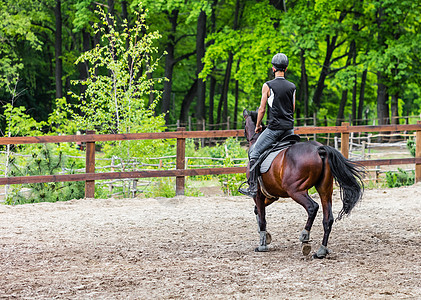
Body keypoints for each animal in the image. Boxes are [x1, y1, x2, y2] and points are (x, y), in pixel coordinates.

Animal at [243, 109, 364, 258]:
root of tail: (319, 149)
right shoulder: (271, 195)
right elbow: (258, 212)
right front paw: (265, 236)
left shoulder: (258, 194)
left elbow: (262, 216)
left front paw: (262, 244)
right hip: (324, 190)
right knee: (328, 218)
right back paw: (321, 251)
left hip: (295, 190)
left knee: (312, 207)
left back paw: (305, 237)